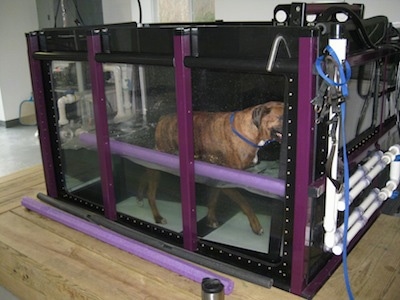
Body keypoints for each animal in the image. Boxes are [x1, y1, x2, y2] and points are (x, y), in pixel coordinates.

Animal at [138, 102, 284, 236]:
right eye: (282, 117)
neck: (250, 131)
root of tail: (163, 118)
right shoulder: (229, 183)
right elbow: (245, 202)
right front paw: (256, 226)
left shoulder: (217, 178)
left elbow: (213, 199)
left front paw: (211, 219)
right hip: (159, 164)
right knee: (151, 194)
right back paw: (157, 217)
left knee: (145, 176)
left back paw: (140, 198)